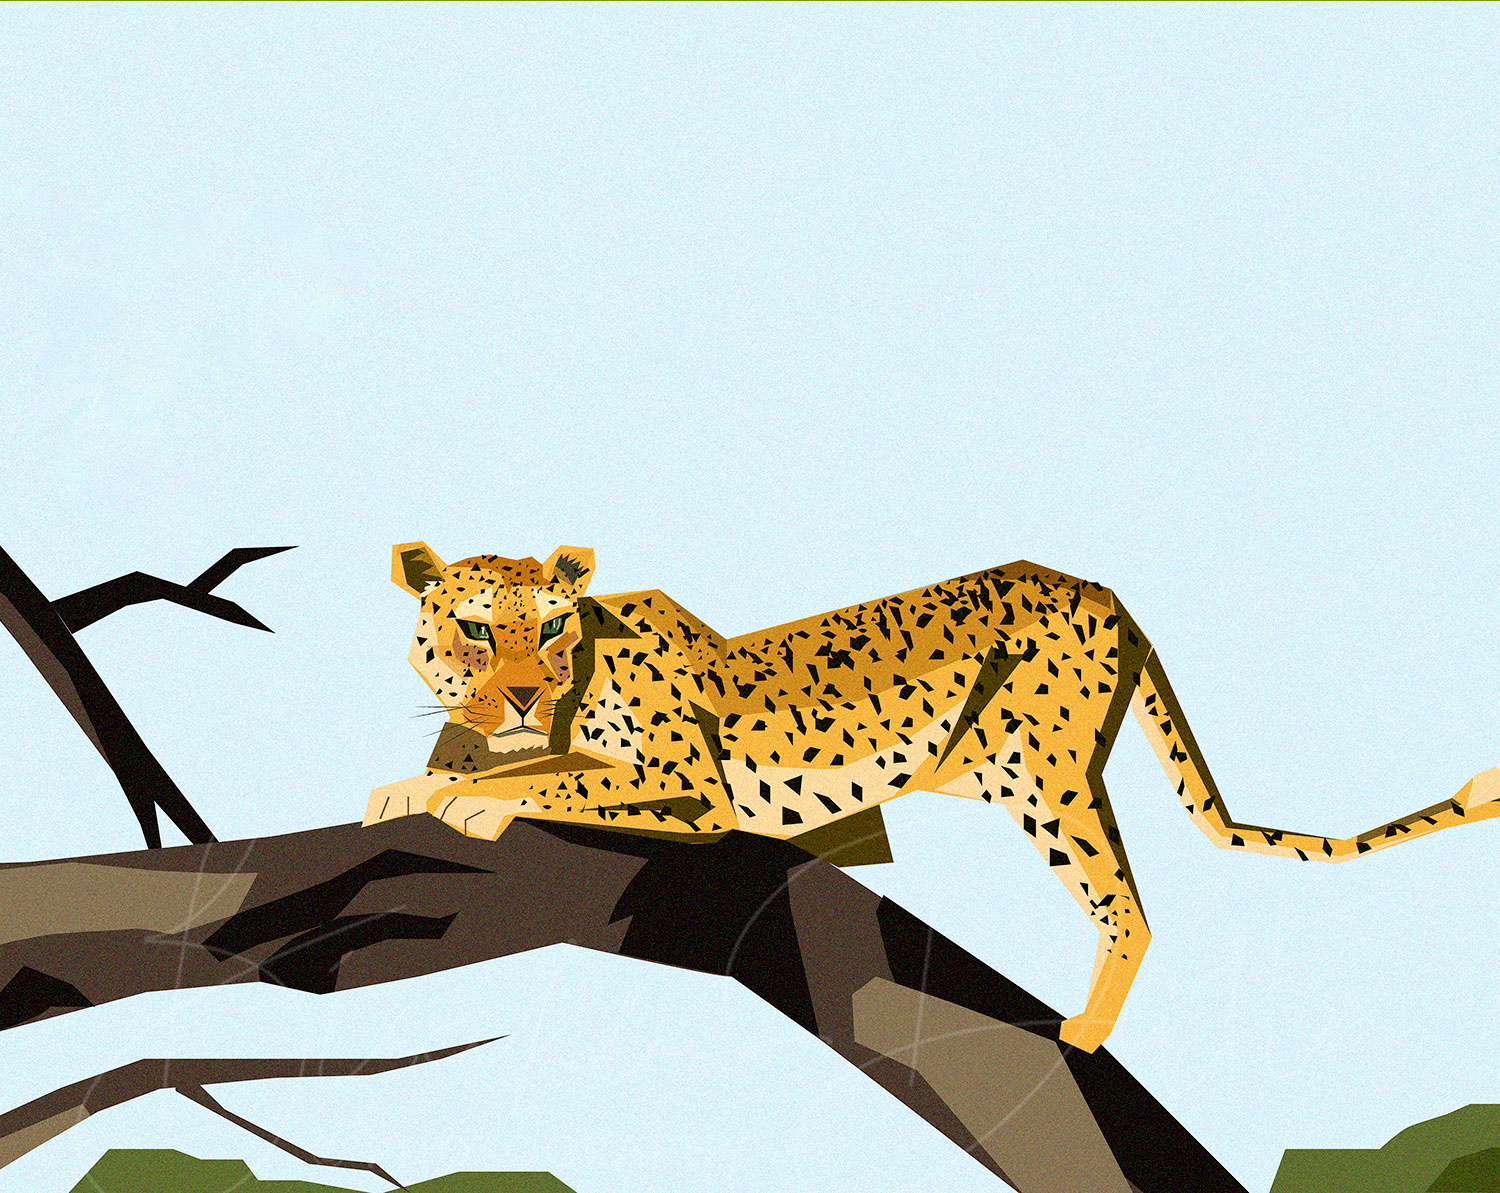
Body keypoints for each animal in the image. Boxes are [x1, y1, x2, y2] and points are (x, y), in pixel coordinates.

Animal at [365, 542, 1500, 1052]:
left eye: (552, 624)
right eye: (476, 625)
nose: (522, 690)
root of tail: (1104, 588)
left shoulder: (693, 786)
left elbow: (559, 779)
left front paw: (472, 798)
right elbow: (512, 763)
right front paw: (417, 781)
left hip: (1052, 781)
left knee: (1129, 904)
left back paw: (1085, 1029)